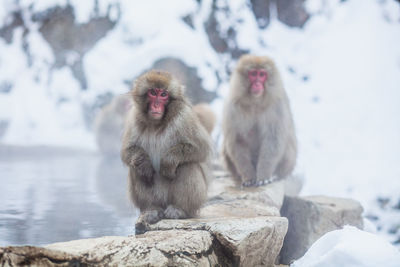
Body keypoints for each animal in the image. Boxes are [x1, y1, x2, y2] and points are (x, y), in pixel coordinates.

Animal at [222, 55, 296, 187]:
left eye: (262, 74)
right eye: (253, 74)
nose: (257, 84)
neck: (255, 102)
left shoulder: (277, 106)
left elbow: (273, 139)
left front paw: (264, 176)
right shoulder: (232, 107)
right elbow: (238, 140)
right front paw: (248, 177)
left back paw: (276, 175)